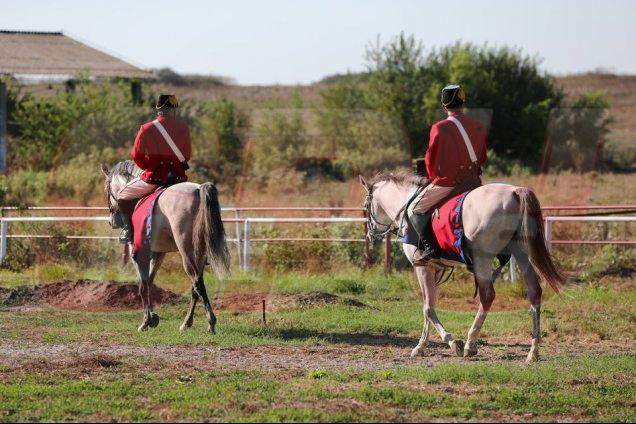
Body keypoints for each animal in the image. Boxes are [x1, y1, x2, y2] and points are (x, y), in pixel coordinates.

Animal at [103, 161, 232, 332]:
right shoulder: (158, 253)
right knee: (195, 287)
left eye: (107, 189)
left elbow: (143, 285)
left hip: (187, 252)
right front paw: (152, 317)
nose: (112, 222)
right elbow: (150, 282)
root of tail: (198, 189)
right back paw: (187, 322)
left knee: (197, 282)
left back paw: (210, 322)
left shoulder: (138, 254)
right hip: (200, 253)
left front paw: (146, 321)